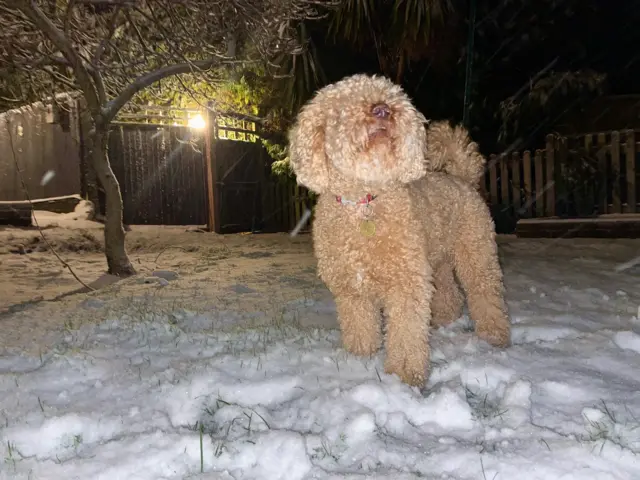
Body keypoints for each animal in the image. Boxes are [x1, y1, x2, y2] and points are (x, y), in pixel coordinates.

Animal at [288, 73, 510, 386]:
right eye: (343, 104)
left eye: (390, 96)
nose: (382, 110)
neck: (365, 201)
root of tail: (460, 177)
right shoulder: (352, 290)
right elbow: (360, 327)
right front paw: (361, 359)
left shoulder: (406, 284)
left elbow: (405, 335)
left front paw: (405, 375)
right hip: (437, 262)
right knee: (451, 295)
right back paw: (444, 319)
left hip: (476, 254)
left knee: (485, 292)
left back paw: (494, 334)